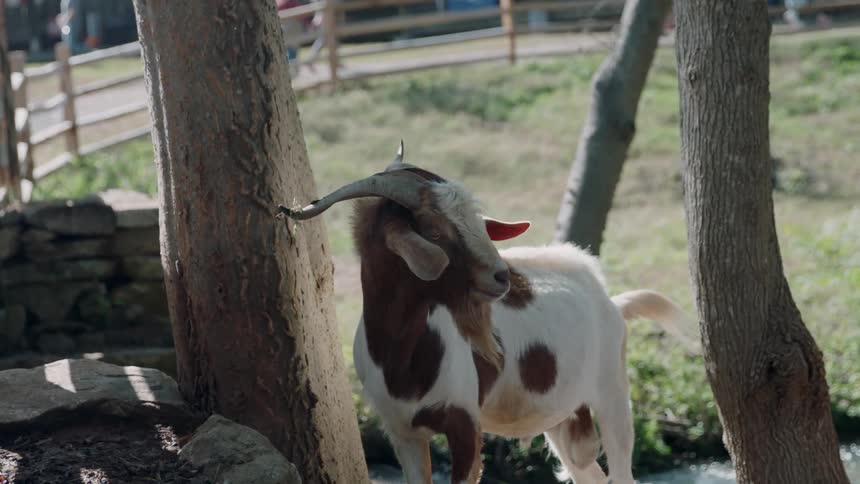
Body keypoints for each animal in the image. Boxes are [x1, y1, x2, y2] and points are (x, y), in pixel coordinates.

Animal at [278, 142, 690, 484]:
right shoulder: (402, 433)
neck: (403, 355)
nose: (502, 275)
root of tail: (612, 301)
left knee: (621, 468)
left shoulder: (465, 424)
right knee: (588, 473)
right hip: (562, 416)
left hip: (612, 393)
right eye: (434, 231)